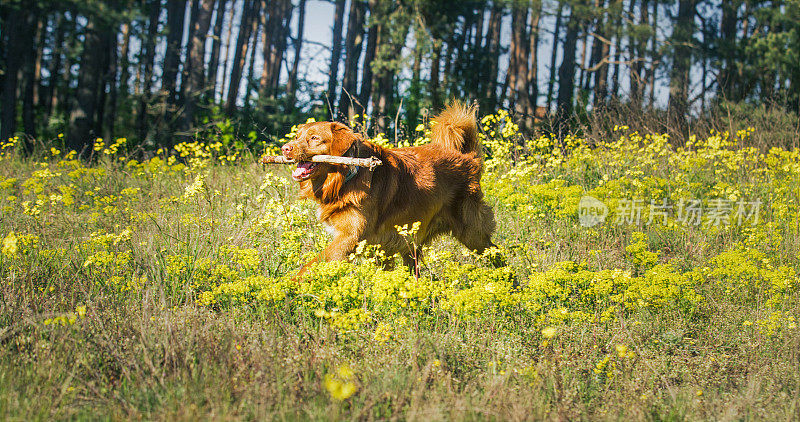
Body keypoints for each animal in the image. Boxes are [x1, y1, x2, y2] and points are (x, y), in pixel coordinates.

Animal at [280, 104, 494, 276]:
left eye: (314, 138)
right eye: (297, 137)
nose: (285, 149)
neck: (347, 176)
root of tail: (467, 157)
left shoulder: (350, 237)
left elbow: (314, 262)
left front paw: (291, 283)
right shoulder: (380, 246)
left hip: (471, 232)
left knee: (494, 251)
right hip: (412, 240)